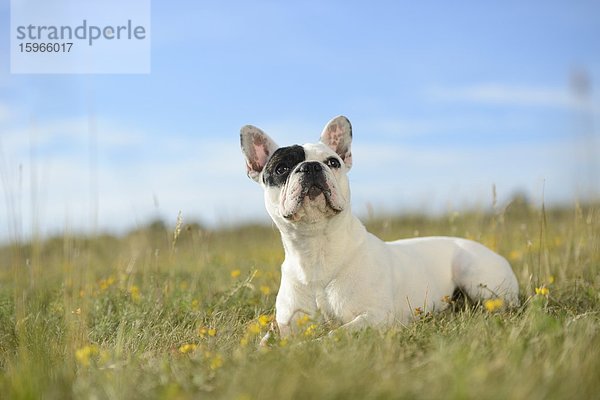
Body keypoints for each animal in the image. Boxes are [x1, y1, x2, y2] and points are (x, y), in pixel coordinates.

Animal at [239, 115, 520, 340]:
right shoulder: (287, 324)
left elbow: (333, 335)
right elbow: (268, 340)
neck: (316, 248)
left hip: (475, 275)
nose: (310, 166)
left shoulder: (374, 317)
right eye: (282, 168)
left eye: (333, 163)